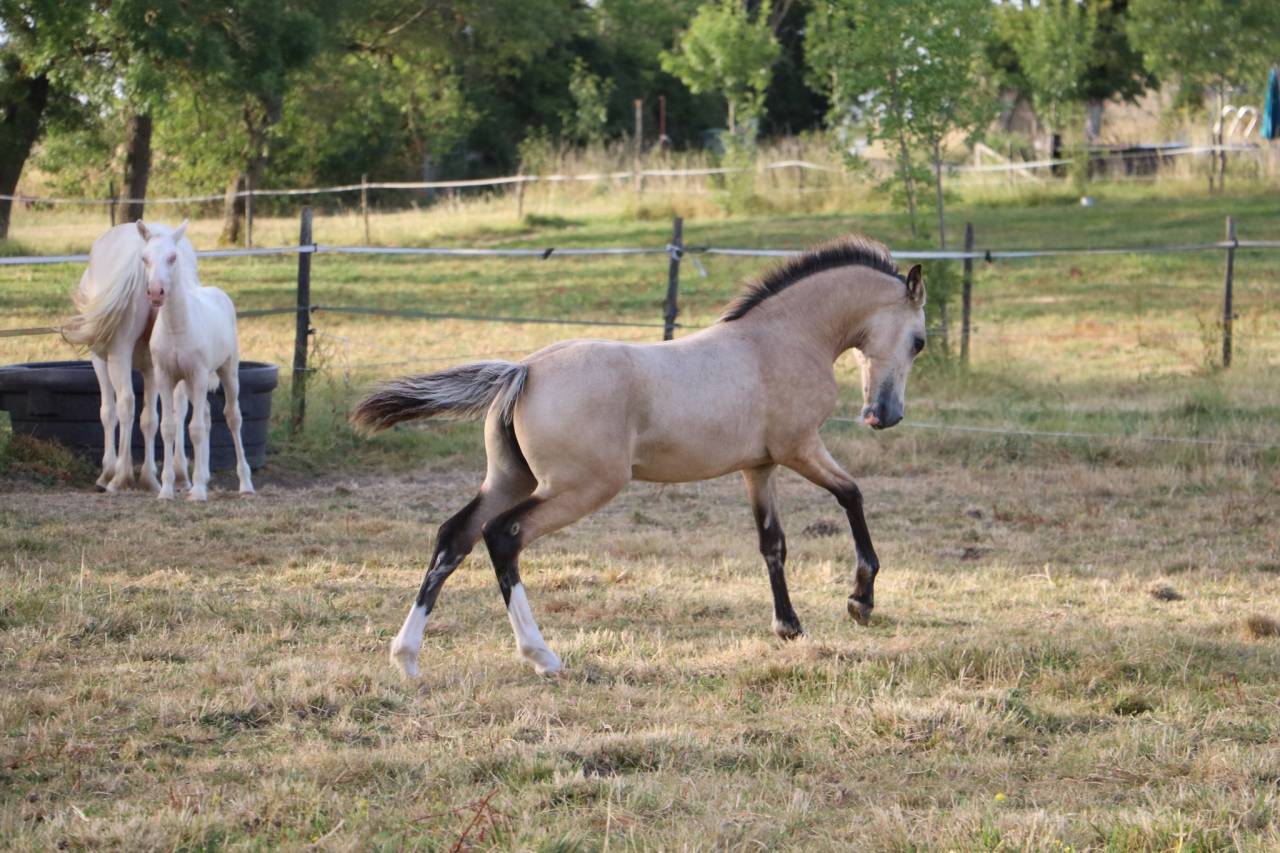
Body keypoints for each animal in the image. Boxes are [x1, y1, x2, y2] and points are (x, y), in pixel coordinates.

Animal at [64, 223, 187, 492]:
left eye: (172, 258)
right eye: (147, 259)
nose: (156, 291)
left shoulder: (101, 360)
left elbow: (108, 412)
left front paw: (109, 470)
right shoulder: (153, 366)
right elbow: (150, 418)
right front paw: (149, 475)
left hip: (117, 356)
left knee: (126, 404)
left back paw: (119, 476)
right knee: (175, 409)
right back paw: (172, 475)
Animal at [139, 220, 255, 502]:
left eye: (172, 257)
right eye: (145, 258)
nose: (156, 292)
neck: (177, 327)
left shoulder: (199, 374)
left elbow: (195, 429)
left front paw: (199, 492)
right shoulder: (165, 376)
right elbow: (169, 427)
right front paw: (167, 490)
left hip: (227, 371)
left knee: (232, 417)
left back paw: (245, 484)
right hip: (191, 385)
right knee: (205, 415)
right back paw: (202, 476)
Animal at [353, 235, 927, 679]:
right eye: (919, 341)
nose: (883, 416)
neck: (781, 338)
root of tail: (524, 370)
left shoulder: (758, 466)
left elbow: (773, 544)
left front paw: (788, 626)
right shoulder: (800, 447)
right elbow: (852, 495)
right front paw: (860, 601)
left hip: (510, 479)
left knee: (454, 537)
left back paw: (406, 657)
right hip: (579, 488)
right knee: (504, 537)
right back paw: (542, 657)